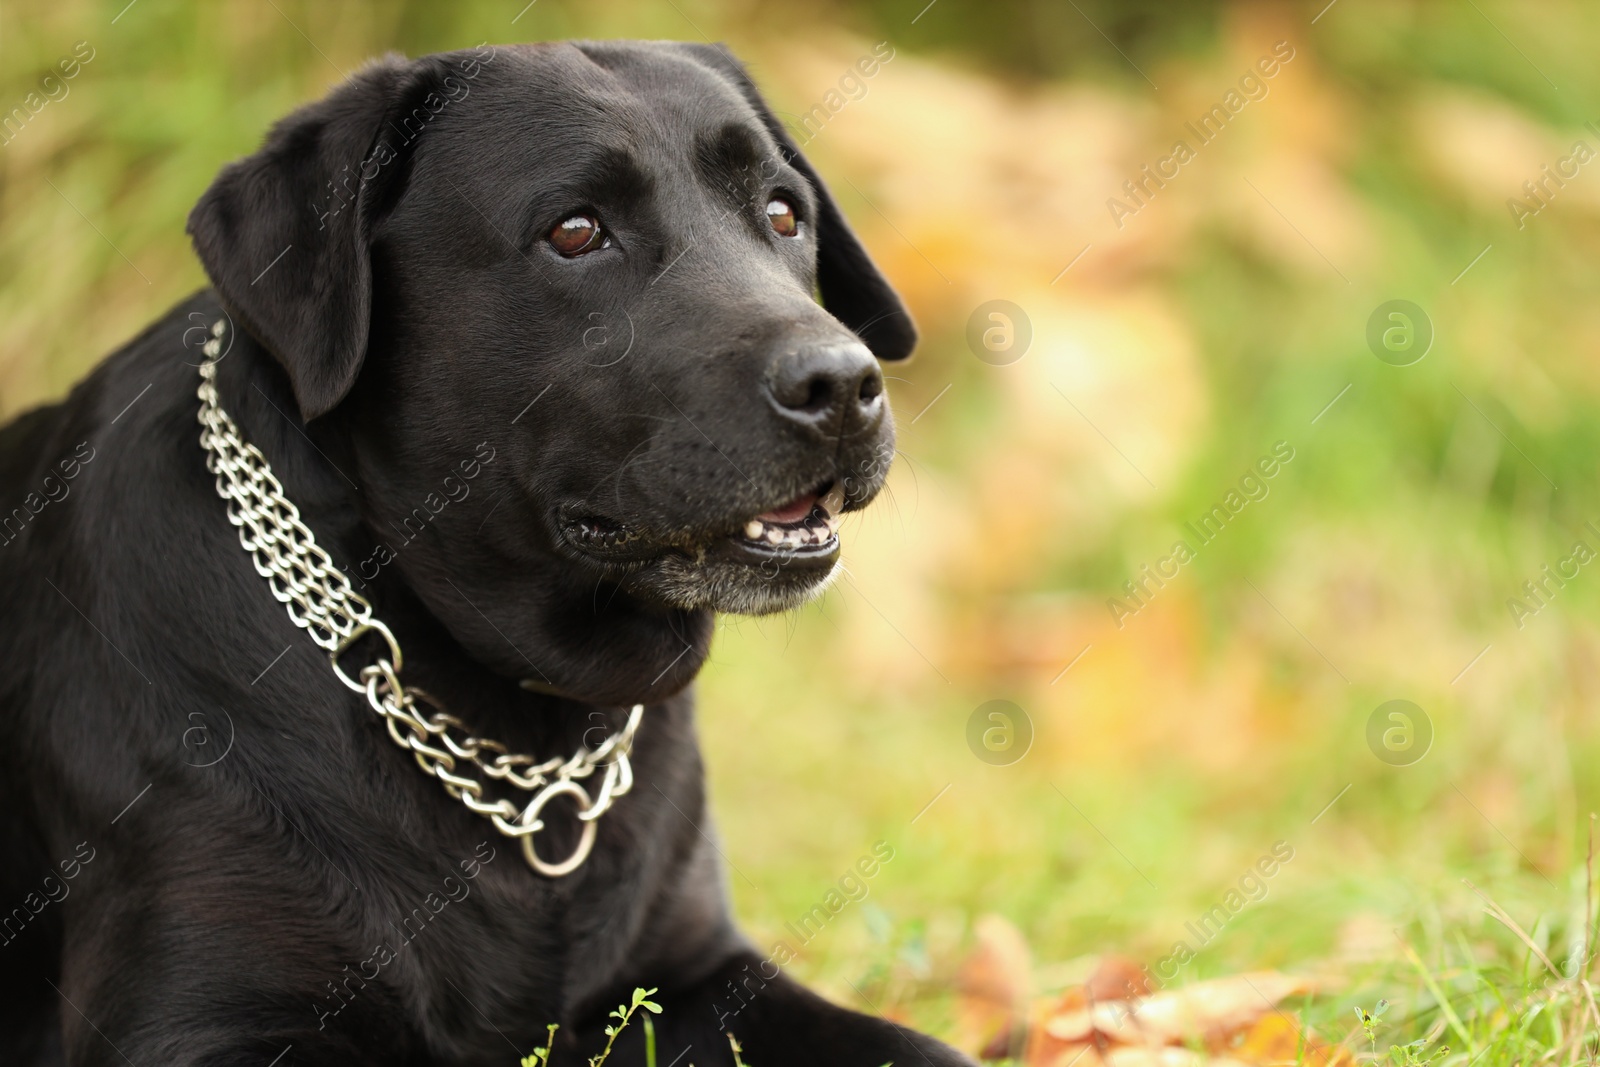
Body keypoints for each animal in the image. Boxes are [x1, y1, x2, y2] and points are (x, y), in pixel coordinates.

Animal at [0, 41, 972, 1067]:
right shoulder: (195, 1024)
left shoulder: (694, 966)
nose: (843, 383)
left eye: (785, 213)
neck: (523, 725)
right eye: (576, 232)